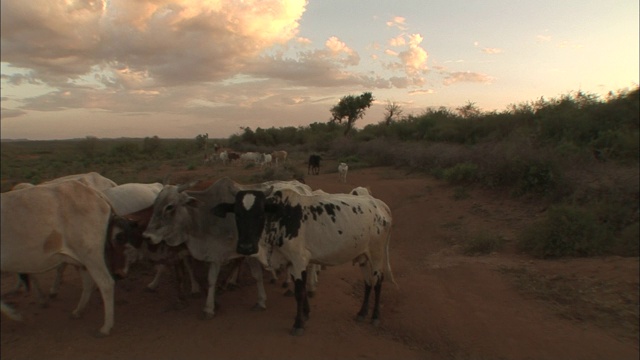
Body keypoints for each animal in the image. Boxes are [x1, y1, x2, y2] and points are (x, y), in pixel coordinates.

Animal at [0, 181, 132, 336]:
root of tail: (93, 192)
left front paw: (15, 314)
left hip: (90, 255)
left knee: (106, 283)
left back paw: (106, 327)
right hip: (82, 259)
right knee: (89, 283)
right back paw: (78, 311)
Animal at [214, 187, 396, 336]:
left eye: (260, 214)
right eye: (237, 214)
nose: (246, 247)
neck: (281, 218)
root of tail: (380, 204)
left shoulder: (298, 260)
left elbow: (299, 293)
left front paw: (298, 323)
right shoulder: (292, 262)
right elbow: (300, 289)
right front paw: (306, 313)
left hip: (377, 254)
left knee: (378, 282)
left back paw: (375, 316)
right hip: (363, 257)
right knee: (368, 283)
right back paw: (362, 313)